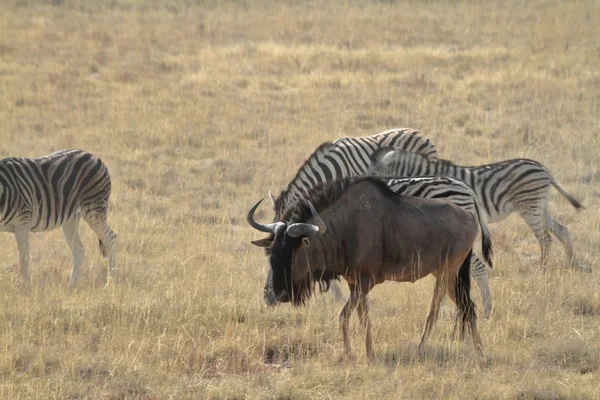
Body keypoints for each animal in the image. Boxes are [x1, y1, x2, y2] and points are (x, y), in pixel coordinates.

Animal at [0, 148, 117, 286]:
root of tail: (92, 155)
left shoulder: (22, 223)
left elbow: (24, 260)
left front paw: (26, 287)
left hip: (94, 209)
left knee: (110, 239)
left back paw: (111, 282)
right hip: (71, 218)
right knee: (79, 250)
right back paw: (71, 287)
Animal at [370, 149, 584, 272]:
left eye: (376, 173)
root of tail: (542, 168)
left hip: (530, 206)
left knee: (546, 239)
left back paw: (543, 270)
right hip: (540, 205)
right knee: (562, 230)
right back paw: (573, 264)